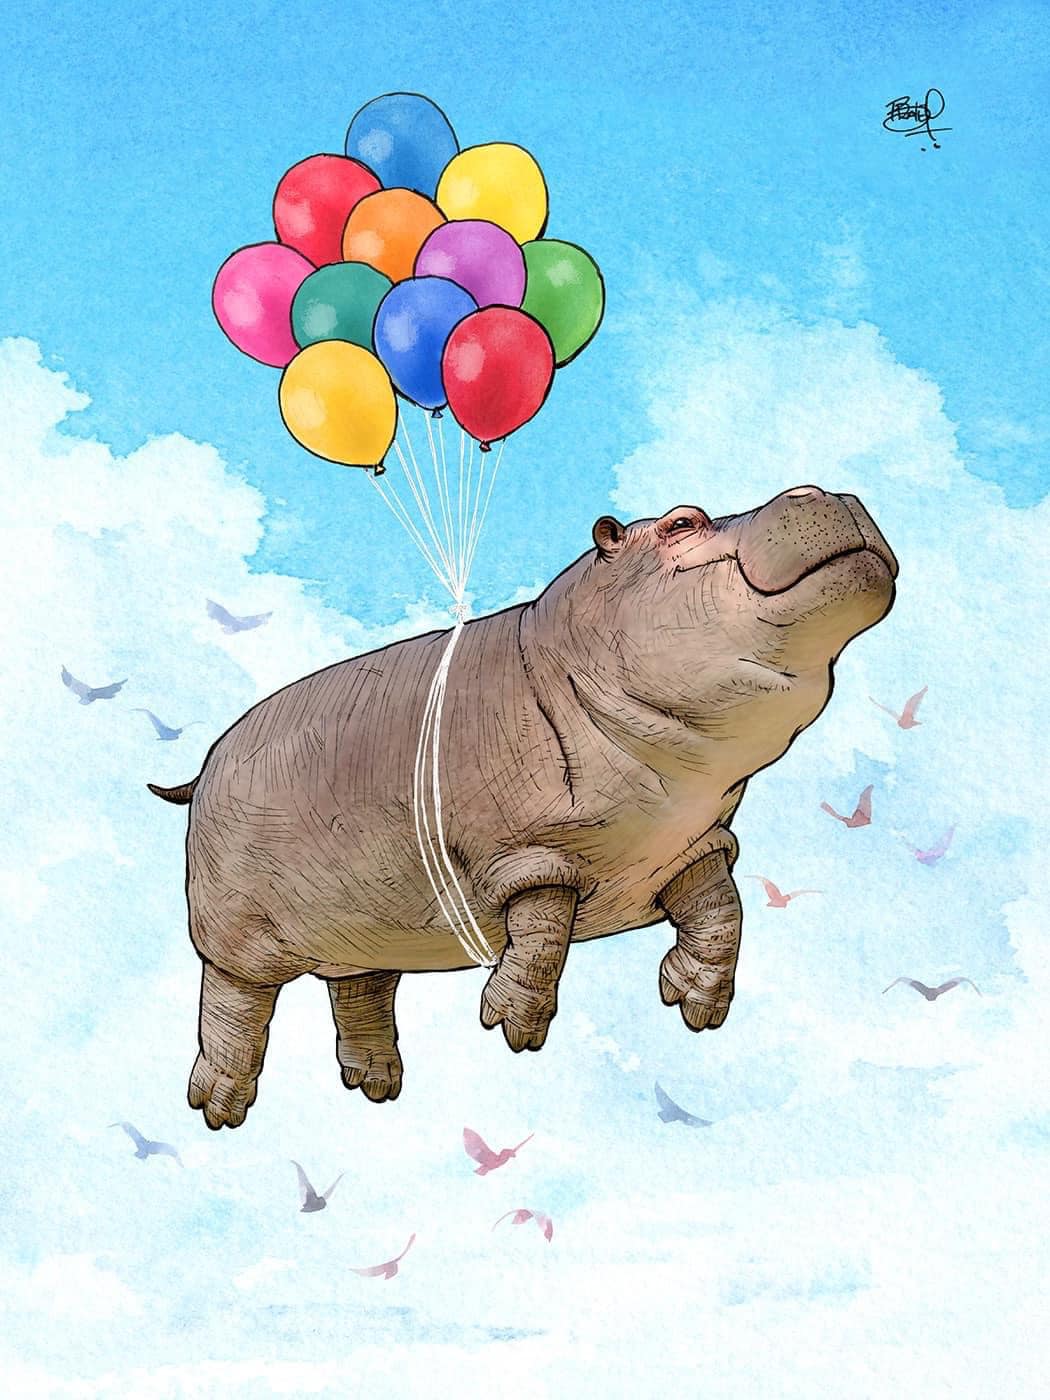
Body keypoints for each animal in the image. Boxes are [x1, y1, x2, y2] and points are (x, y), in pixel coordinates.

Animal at [150, 485, 897, 1130]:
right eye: (683, 522)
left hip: (361, 931)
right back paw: (218, 1107)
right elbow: (542, 935)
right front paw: (513, 1027)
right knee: (235, 1006)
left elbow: (722, 915)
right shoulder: (530, 852)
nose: (823, 490)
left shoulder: (689, 846)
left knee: (361, 992)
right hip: (234, 931)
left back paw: (376, 1086)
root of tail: (204, 767)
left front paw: (697, 1004)